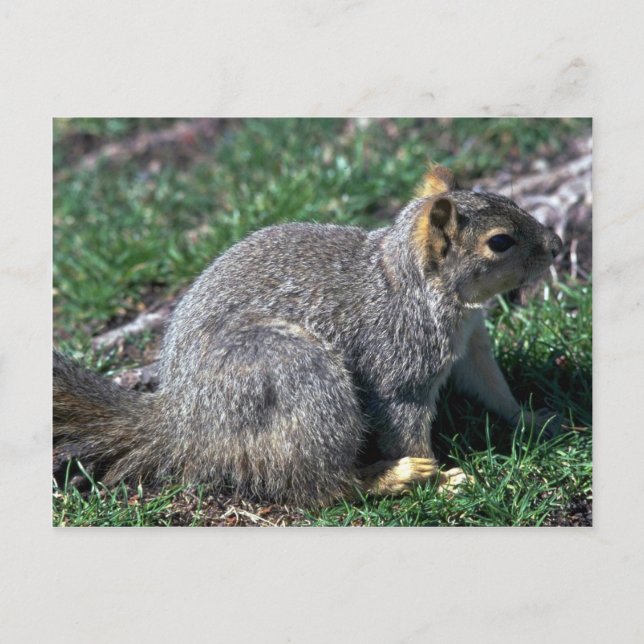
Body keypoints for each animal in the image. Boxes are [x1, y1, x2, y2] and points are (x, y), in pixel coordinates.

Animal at [53, 164, 563, 506]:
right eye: (500, 242)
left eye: (513, 201)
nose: (557, 246)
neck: (417, 286)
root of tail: (181, 422)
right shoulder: (401, 364)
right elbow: (405, 425)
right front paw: (440, 480)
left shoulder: (472, 345)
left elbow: (493, 390)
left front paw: (534, 419)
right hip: (297, 376)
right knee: (323, 486)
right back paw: (392, 478)